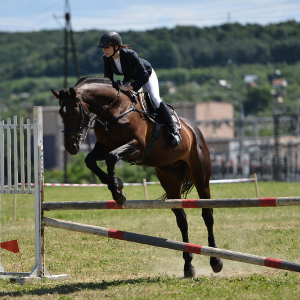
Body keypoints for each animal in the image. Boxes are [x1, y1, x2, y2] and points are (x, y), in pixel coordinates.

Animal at [50, 76, 223, 278]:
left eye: (76, 111)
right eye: (60, 113)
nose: (70, 147)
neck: (114, 110)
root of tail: (194, 130)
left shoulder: (136, 147)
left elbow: (111, 158)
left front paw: (118, 192)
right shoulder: (104, 147)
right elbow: (90, 160)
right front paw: (117, 186)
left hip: (201, 176)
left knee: (207, 214)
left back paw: (216, 260)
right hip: (170, 180)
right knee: (182, 219)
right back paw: (188, 266)